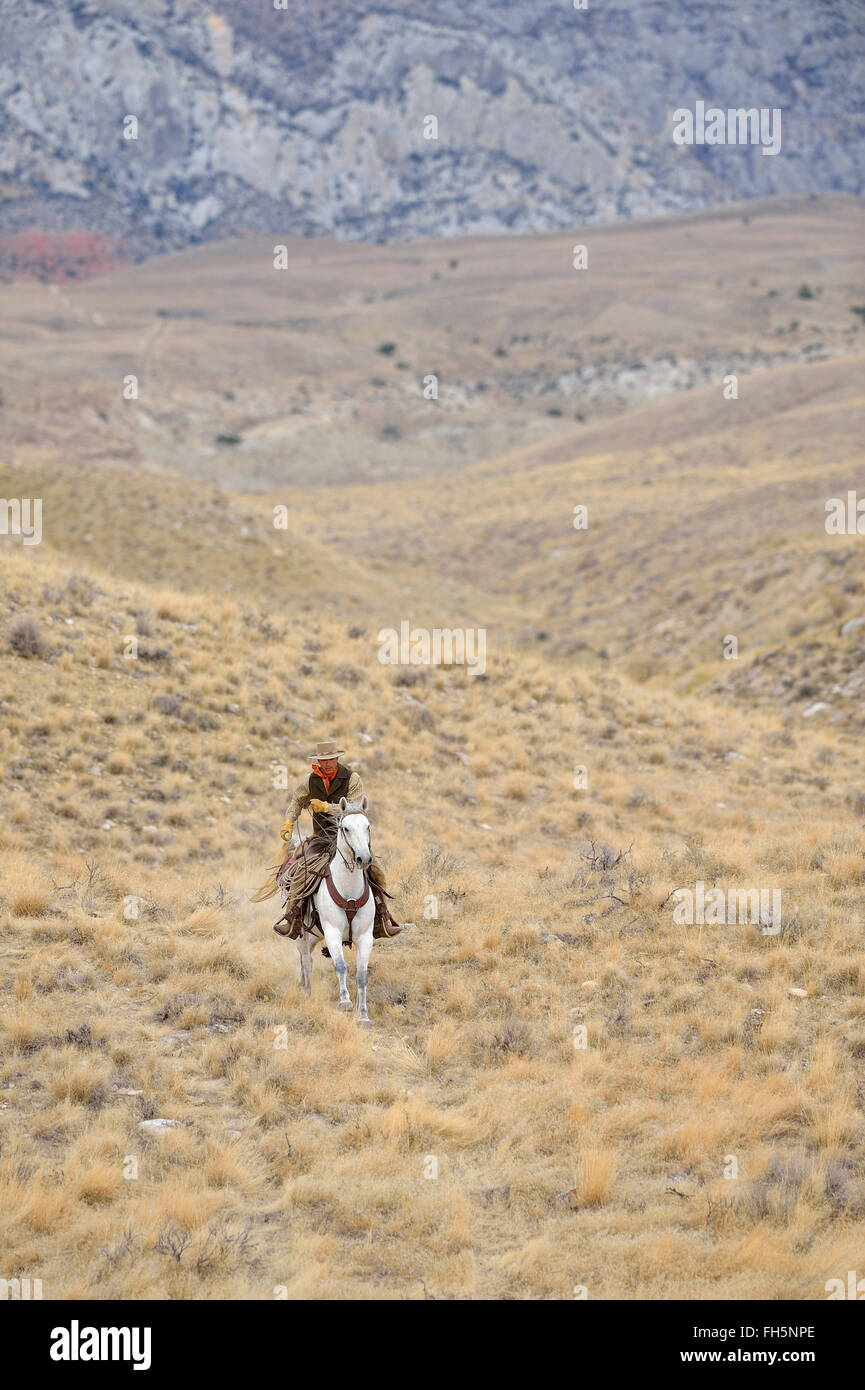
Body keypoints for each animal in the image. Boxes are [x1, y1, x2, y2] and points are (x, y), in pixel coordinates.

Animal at [296, 800, 378, 1028]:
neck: (349, 891)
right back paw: (306, 990)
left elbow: (362, 975)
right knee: (305, 957)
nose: (363, 858)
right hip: (303, 932)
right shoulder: (332, 932)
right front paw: (345, 1001)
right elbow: (340, 966)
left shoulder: (365, 937)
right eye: (346, 828)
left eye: (368, 826)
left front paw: (364, 1016)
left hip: (315, 935)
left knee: (307, 957)